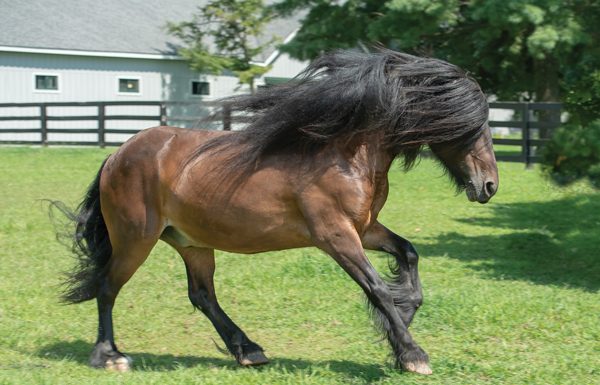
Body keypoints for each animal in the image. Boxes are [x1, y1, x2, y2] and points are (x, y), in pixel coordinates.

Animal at [55, 48, 496, 376]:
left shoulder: (365, 228)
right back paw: (110, 356)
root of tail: (117, 155)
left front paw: (403, 322)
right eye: (474, 125)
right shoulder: (335, 235)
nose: (489, 185)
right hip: (135, 239)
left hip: (191, 242)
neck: (345, 155)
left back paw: (248, 350)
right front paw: (412, 354)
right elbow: (377, 287)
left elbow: (408, 255)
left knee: (203, 295)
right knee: (108, 287)